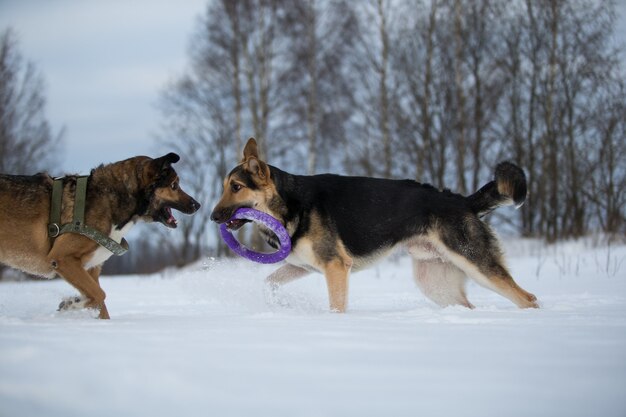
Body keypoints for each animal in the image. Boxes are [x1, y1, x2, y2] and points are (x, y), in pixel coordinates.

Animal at [0, 153, 199, 318]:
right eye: (174, 185)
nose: (197, 205)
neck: (112, 199)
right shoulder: (63, 258)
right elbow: (99, 294)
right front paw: (71, 304)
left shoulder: (90, 269)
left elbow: (100, 301)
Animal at [210, 138, 536, 310]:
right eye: (224, 186)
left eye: (236, 187)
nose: (212, 216)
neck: (289, 205)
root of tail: (463, 201)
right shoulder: (302, 267)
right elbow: (269, 282)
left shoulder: (335, 267)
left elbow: (337, 306)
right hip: (435, 284)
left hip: (477, 266)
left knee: (527, 298)